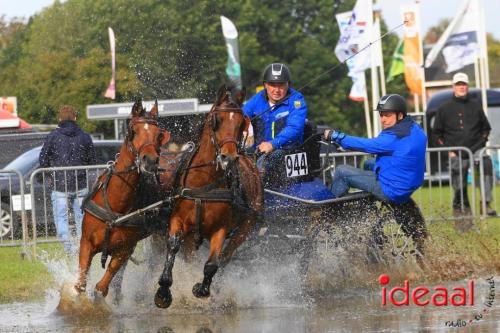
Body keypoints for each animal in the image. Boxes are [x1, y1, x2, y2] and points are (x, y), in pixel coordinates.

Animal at [73, 100, 169, 296]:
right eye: (133, 131)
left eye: (159, 134)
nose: (150, 161)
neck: (116, 207)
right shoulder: (86, 244)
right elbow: (81, 284)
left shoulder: (123, 252)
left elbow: (102, 287)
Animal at [154, 85, 264, 308]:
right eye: (216, 120)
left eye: (241, 123)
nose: (229, 157)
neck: (204, 183)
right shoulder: (177, 219)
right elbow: (173, 247)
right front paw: (164, 290)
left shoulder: (221, 228)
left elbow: (213, 263)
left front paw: (202, 289)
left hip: (246, 226)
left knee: (226, 257)